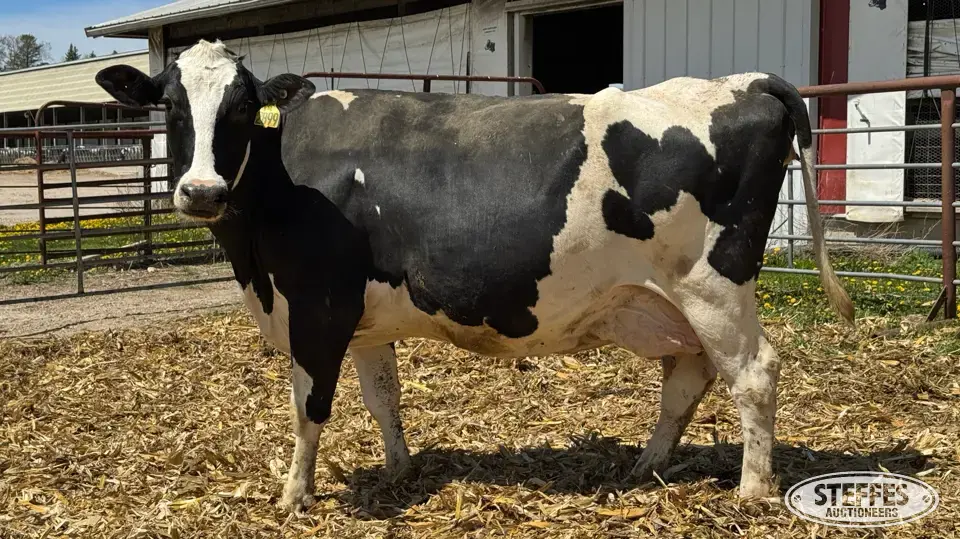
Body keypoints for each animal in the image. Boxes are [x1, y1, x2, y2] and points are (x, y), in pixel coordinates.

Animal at [96, 39, 854, 512]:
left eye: (241, 108)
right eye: (170, 105)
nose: (201, 191)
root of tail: (741, 82)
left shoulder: (316, 304)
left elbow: (310, 406)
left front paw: (294, 492)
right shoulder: (364, 317)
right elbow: (384, 397)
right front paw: (400, 468)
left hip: (714, 285)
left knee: (753, 374)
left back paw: (753, 489)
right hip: (671, 301)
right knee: (687, 377)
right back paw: (646, 466)